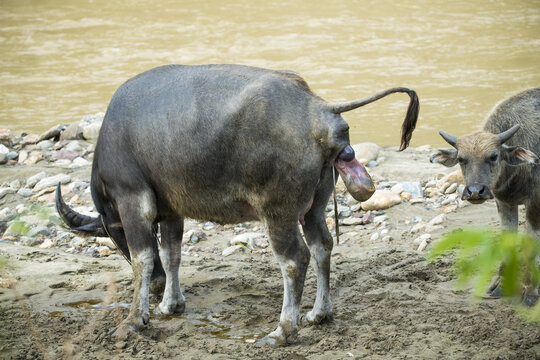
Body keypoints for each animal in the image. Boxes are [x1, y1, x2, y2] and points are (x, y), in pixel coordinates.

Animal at [56, 64, 418, 346]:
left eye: (112, 231)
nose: (157, 287)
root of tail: (320, 110)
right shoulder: (172, 210)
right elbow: (172, 254)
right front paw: (170, 305)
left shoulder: (131, 199)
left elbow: (142, 258)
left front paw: (134, 320)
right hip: (314, 207)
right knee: (322, 246)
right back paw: (319, 313)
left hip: (277, 211)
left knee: (294, 259)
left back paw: (282, 331)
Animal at [430, 88, 540, 302]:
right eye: (461, 159)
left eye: (494, 156)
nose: (475, 192)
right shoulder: (504, 203)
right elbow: (507, 242)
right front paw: (501, 286)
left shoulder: (535, 205)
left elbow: (532, 247)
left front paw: (531, 292)